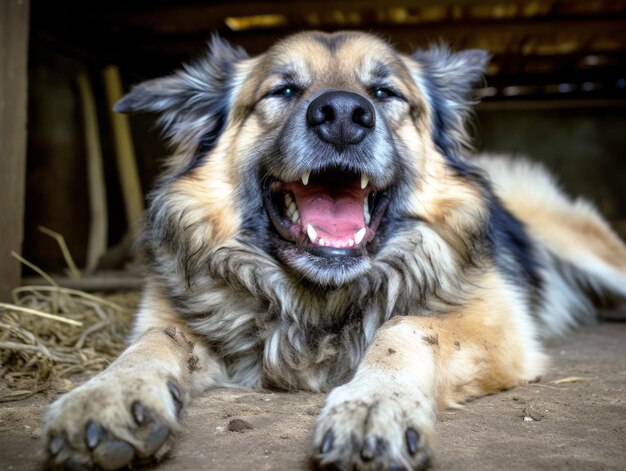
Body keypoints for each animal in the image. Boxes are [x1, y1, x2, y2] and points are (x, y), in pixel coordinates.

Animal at [40, 31, 624, 470]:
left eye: (385, 92)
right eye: (283, 89)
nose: (342, 114)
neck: (320, 299)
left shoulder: (498, 325)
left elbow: (406, 327)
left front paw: (373, 405)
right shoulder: (171, 318)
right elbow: (152, 342)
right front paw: (107, 396)